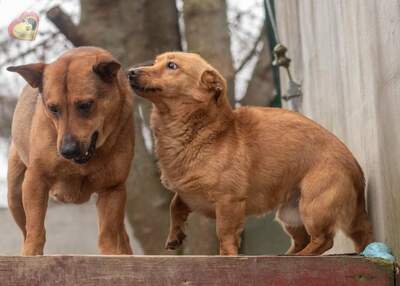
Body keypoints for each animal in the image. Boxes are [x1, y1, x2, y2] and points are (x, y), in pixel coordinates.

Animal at [7, 47, 134, 256]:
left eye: (85, 105)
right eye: (53, 108)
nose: (67, 150)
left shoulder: (112, 187)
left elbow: (107, 232)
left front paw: (112, 254)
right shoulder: (35, 179)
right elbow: (35, 226)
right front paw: (32, 253)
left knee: (120, 233)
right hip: (15, 194)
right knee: (25, 228)